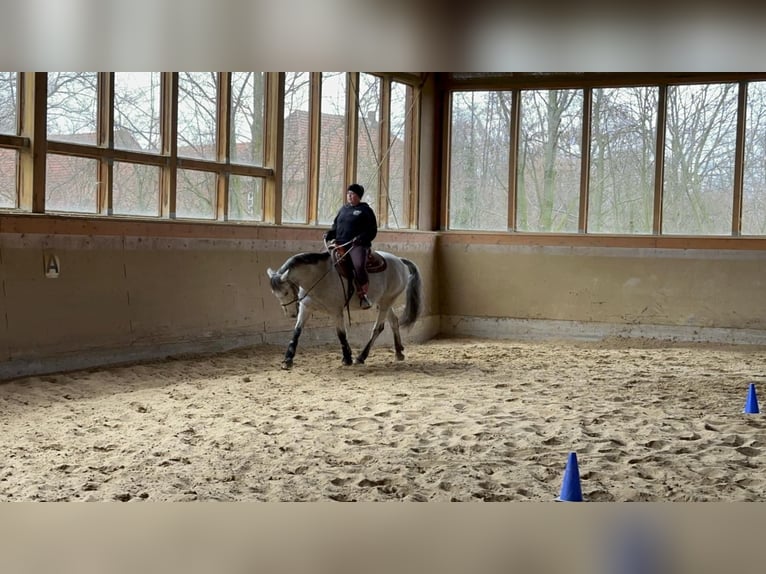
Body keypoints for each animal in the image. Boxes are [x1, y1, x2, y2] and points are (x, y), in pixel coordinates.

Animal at [268, 246, 424, 372]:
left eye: (286, 292)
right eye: (275, 294)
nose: (291, 314)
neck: (317, 277)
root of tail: (399, 260)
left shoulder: (336, 311)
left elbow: (341, 334)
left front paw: (347, 358)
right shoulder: (306, 308)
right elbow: (297, 332)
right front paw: (287, 360)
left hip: (386, 302)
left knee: (378, 328)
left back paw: (361, 357)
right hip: (382, 302)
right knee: (394, 322)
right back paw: (398, 352)